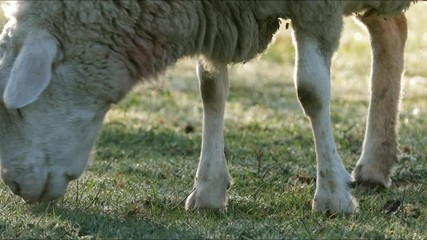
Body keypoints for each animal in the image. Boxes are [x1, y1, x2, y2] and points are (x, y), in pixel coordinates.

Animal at [0, 0, 416, 214]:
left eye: (15, 110)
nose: (16, 186)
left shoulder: (315, 7)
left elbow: (310, 91)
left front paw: (332, 196)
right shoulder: (219, 16)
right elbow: (211, 87)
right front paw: (208, 191)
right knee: (391, 29)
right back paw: (375, 165)